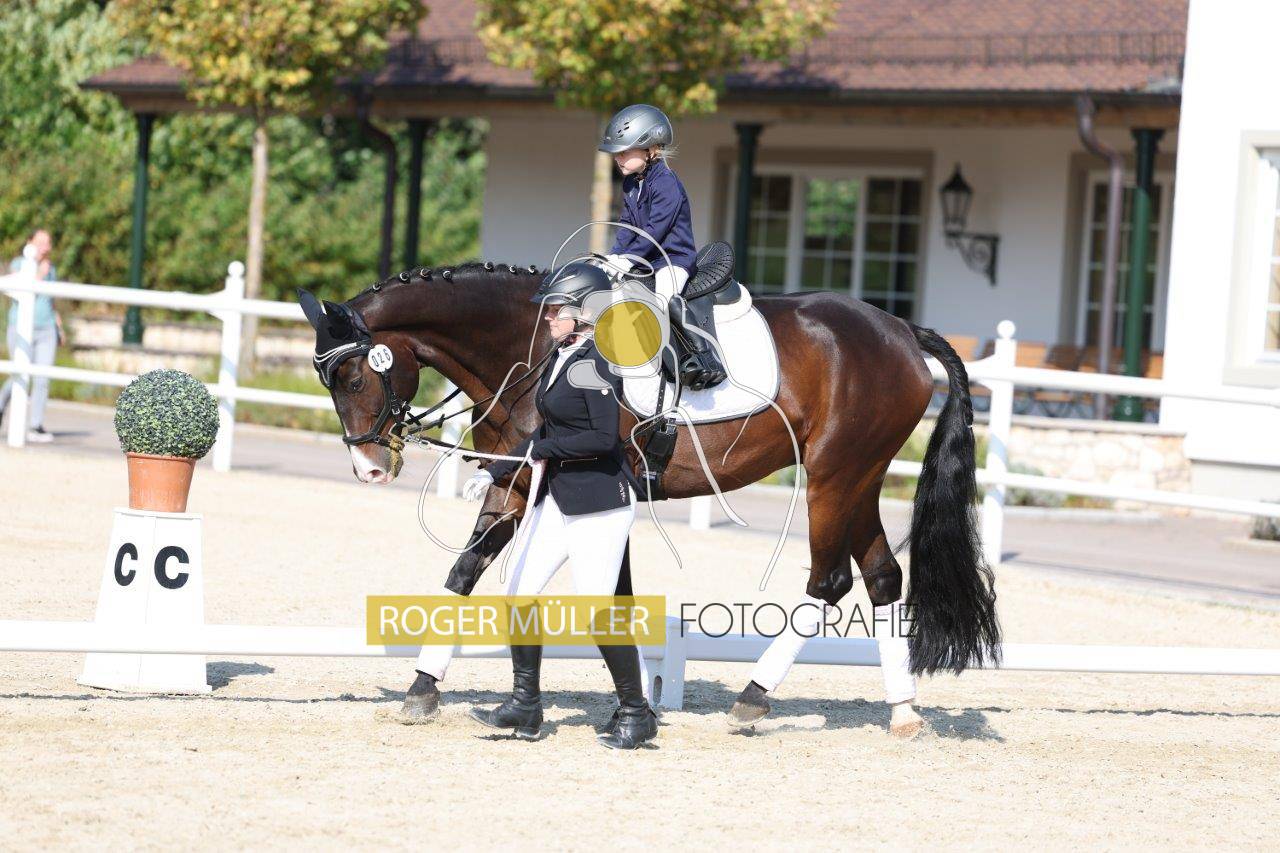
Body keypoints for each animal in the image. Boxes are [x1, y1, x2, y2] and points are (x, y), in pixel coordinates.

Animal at [298, 261, 1000, 736]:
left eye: (355, 376)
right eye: (328, 380)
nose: (369, 467)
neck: (533, 347)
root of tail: (901, 329)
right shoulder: (515, 484)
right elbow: (466, 572)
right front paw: (422, 687)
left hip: (834, 475)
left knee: (829, 582)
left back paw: (752, 698)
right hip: (860, 476)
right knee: (881, 577)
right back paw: (903, 711)